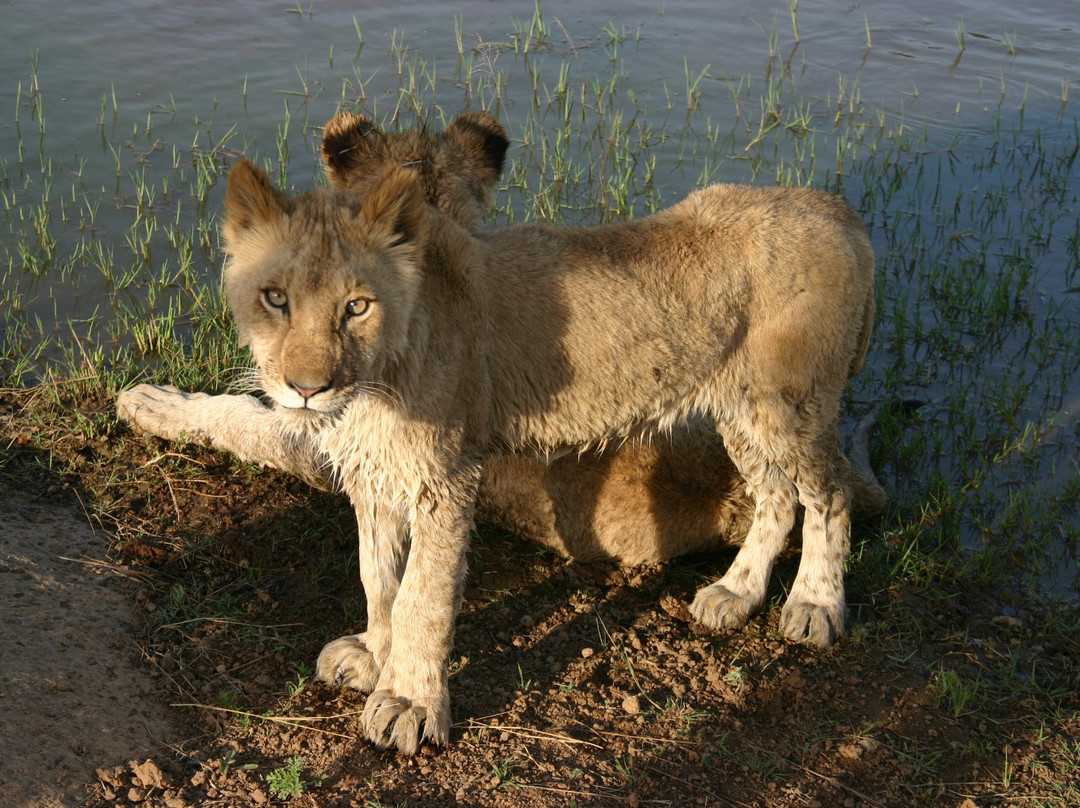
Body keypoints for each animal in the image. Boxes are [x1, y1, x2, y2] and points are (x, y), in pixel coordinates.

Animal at [118, 111, 879, 754]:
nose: (308, 387)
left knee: (831, 493)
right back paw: (736, 593)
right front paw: (373, 654)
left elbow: (422, 595)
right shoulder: (373, 470)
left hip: (793, 403)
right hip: (739, 412)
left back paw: (814, 604)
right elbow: (378, 575)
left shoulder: (446, 477)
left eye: (356, 307)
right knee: (777, 494)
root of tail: (837, 206)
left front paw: (409, 704)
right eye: (275, 298)